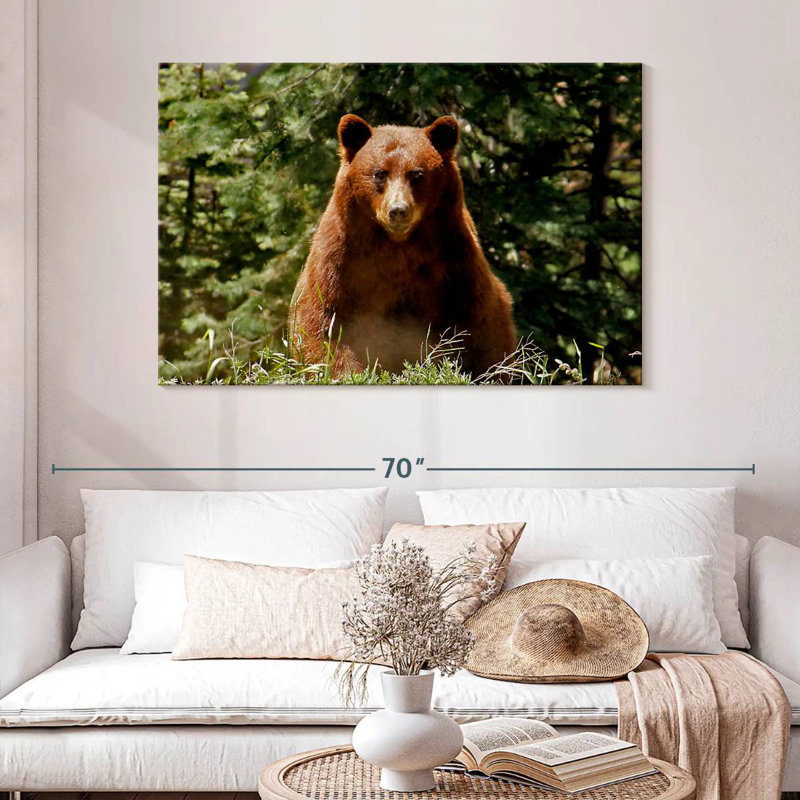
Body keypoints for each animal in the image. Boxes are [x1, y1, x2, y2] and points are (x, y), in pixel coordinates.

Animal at [289, 113, 517, 379]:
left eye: (417, 174)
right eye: (380, 173)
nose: (398, 210)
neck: (397, 245)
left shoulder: (454, 261)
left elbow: (481, 327)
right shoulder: (339, 259)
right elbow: (322, 323)